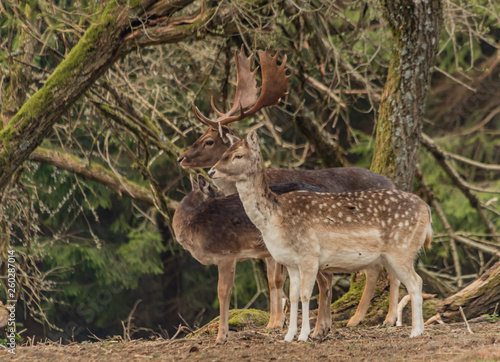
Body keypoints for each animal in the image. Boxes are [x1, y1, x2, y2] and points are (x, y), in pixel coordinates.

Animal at [174, 174, 326, 344]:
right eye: (220, 194)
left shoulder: (226, 253)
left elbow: (223, 291)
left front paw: (221, 336)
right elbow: (272, 281)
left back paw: (318, 331)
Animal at [209, 132, 432, 340]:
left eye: (238, 155)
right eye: (224, 153)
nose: (212, 171)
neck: (276, 218)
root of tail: (427, 210)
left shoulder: (309, 254)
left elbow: (306, 295)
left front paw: (304, 336)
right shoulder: (290, 262)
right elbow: (293, 296)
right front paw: (288, 336)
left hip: (401, 249)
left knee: (415, 282)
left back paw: (414, 332)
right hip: (390, 255)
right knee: (405, 280)